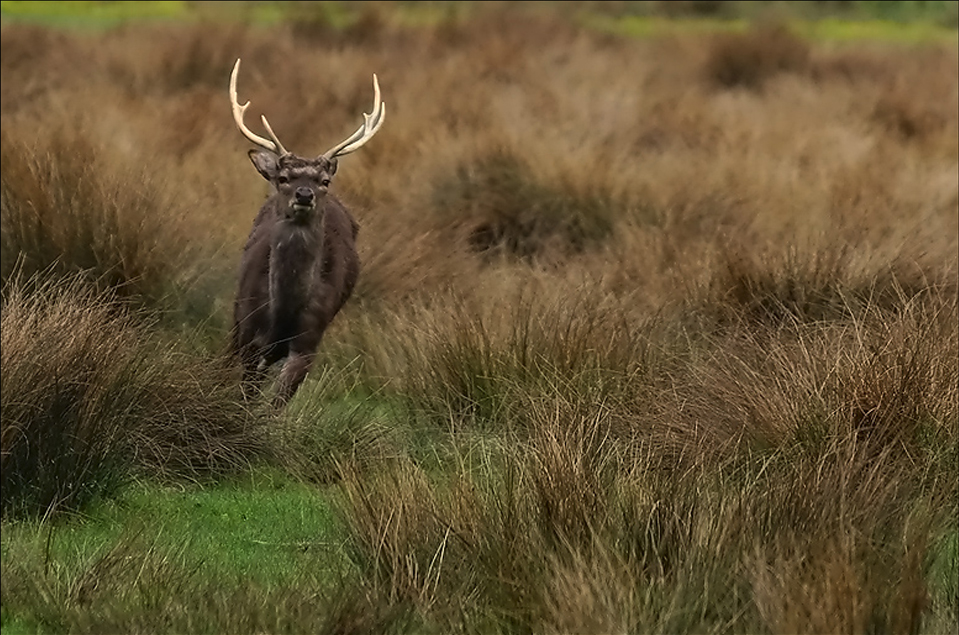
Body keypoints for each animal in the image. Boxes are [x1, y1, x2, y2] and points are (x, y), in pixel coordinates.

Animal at [227, 58, 385, 409]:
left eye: (323, 181)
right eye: (283, 177)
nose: (304, 194)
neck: (283, 312)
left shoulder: (309, 340)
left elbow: (275, 406)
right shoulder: (249, 326)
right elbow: (246, 395)